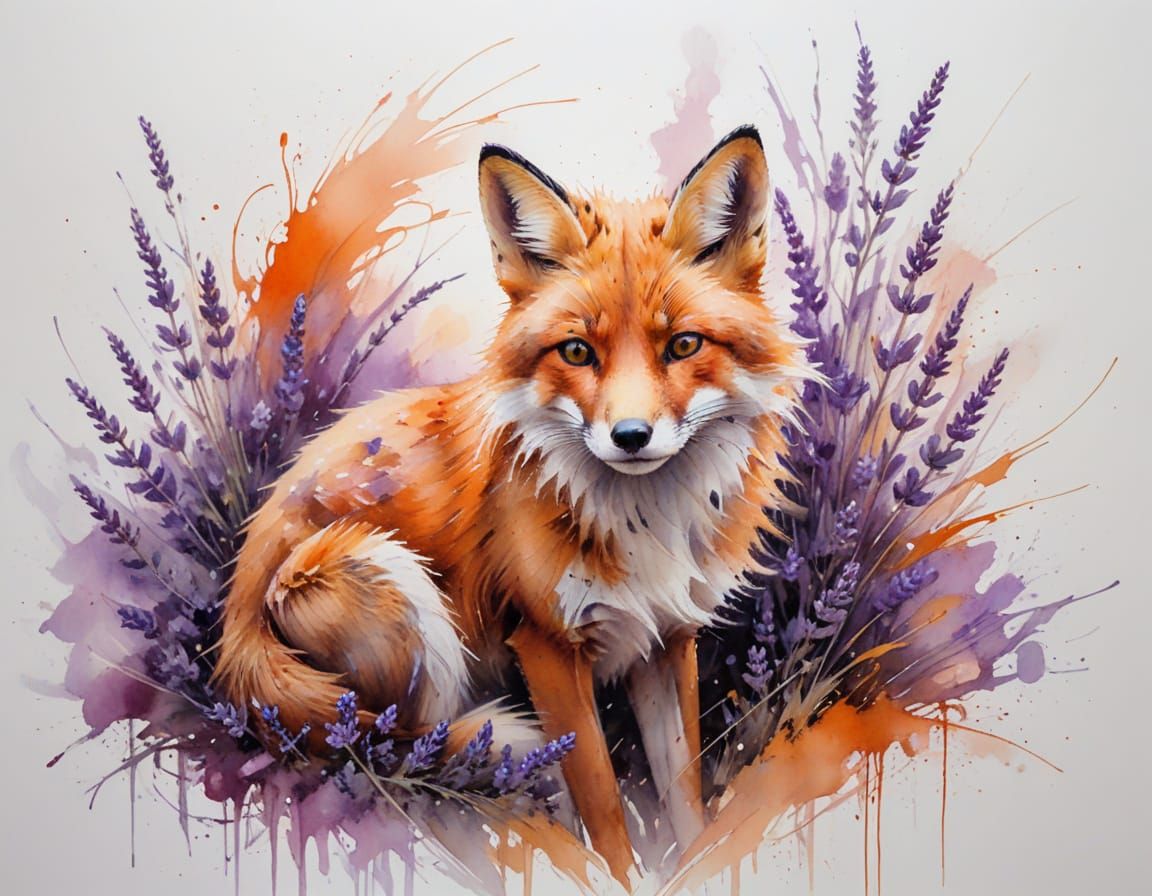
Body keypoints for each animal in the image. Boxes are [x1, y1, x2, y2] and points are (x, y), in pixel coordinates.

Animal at [213, 124, 805, 885]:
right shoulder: (546, 645)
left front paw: (689, 864)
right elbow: (604, 806)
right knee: (402, 754)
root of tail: (236, 614)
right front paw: (613, 873)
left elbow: (685, 799)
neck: (643, 526)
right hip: (388, 581)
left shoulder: (666, 639)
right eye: (577, 352)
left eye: (682, 345)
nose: (630, 436)